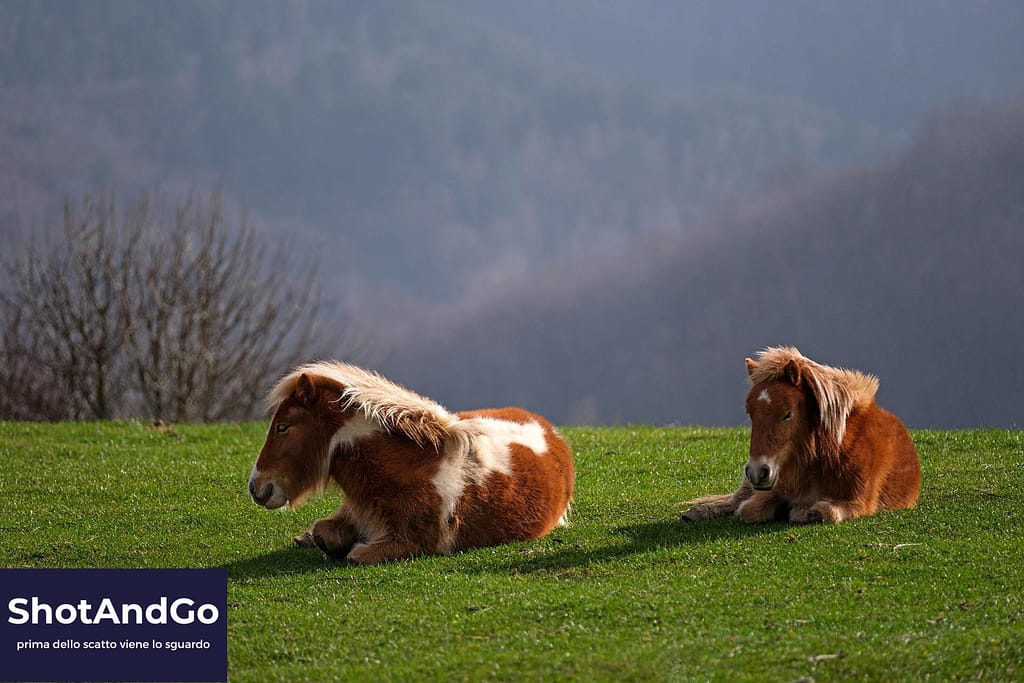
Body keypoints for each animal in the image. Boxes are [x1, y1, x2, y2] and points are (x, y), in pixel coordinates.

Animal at [247, 361, 575, 564]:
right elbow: (322, 532)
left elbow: (355, 554)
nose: (255, 487)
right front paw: (312, 538)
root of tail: (550, 432)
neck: (408, 468)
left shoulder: (410, 545)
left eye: (283, 427)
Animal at [682, 346, 921, 524]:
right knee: (735, 499)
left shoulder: (860, 502)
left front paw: (801, 511)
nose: (758, 471)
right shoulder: (772, 488)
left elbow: (824, 512)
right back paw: (697, 511)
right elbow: (748, 509)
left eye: (788, 414)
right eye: (750, 413)